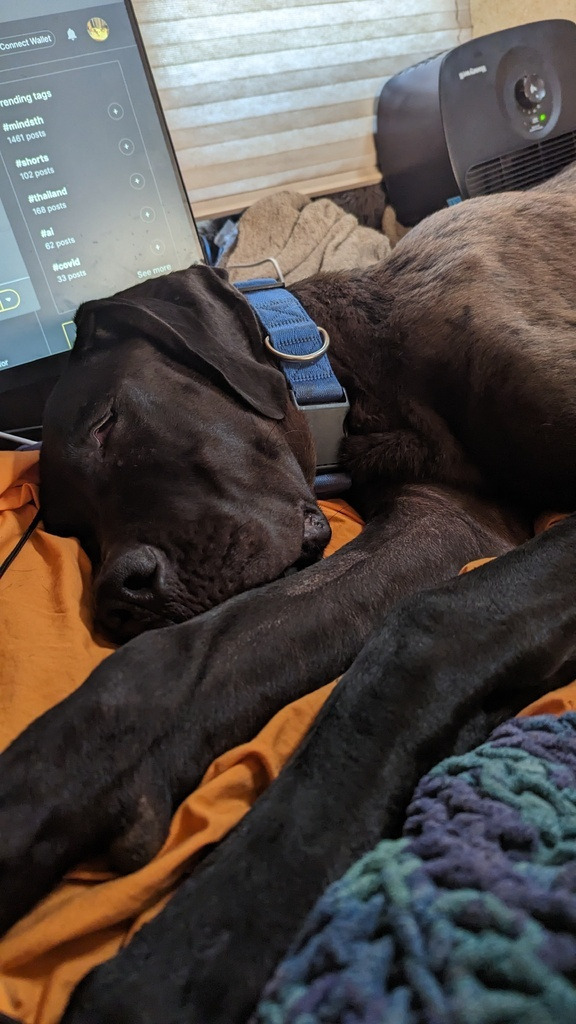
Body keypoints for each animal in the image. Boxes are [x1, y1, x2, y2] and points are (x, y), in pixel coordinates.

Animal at [1, 163, 573, 1019]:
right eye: (67, 526)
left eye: (107, 424)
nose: (116, 599)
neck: (353, 366)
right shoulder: (437, 521)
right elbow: (192, 654)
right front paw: (37, 795)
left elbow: (422, 632)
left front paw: (193, 948)